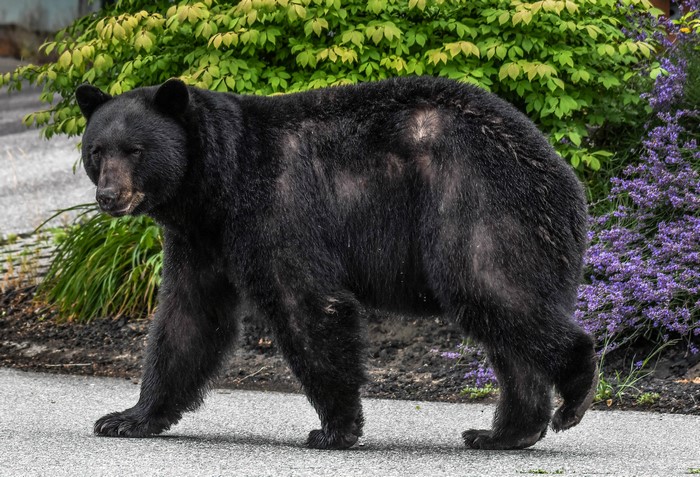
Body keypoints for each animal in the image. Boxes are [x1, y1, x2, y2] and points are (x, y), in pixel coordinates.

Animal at [75, 75, 597, 450]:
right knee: (506, 328)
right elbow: (188, 316)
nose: (108, 197)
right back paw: (504, 433)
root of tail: (563, 177)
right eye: (96, 150)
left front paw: (334, 429)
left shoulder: (276, 207)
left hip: (474, 202)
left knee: (490, 289)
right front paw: (126, 418)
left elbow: (305, 303)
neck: (217, 184)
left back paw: (574, 391)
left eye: (135, 150)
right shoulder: (201, 238)